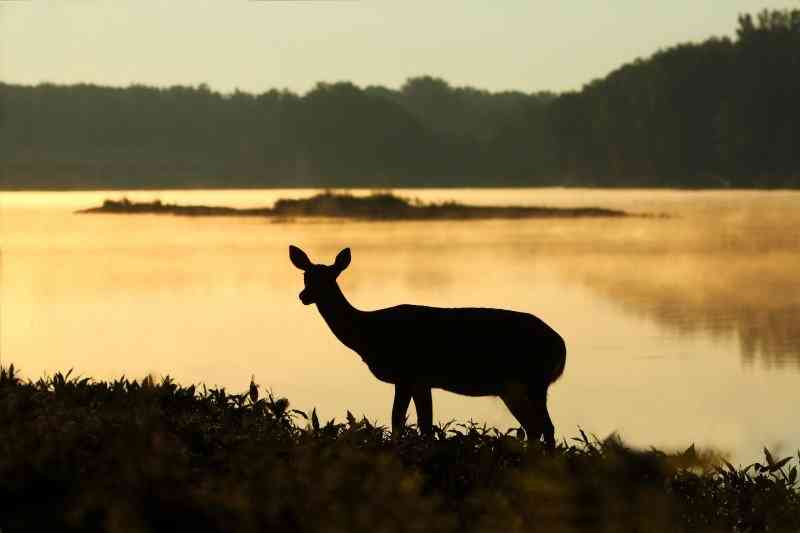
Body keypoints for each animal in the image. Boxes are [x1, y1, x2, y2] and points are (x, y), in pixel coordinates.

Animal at [290, 246, 564, 448]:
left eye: (330, 278)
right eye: (306, 276)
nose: (303, 296)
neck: (370, 333)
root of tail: (562, 347)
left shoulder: (407, 373)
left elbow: (399, 421)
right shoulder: (421, 381)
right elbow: (423, 425)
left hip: (534, 379)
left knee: (546, 427)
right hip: (512, 387)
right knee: (533, 428)